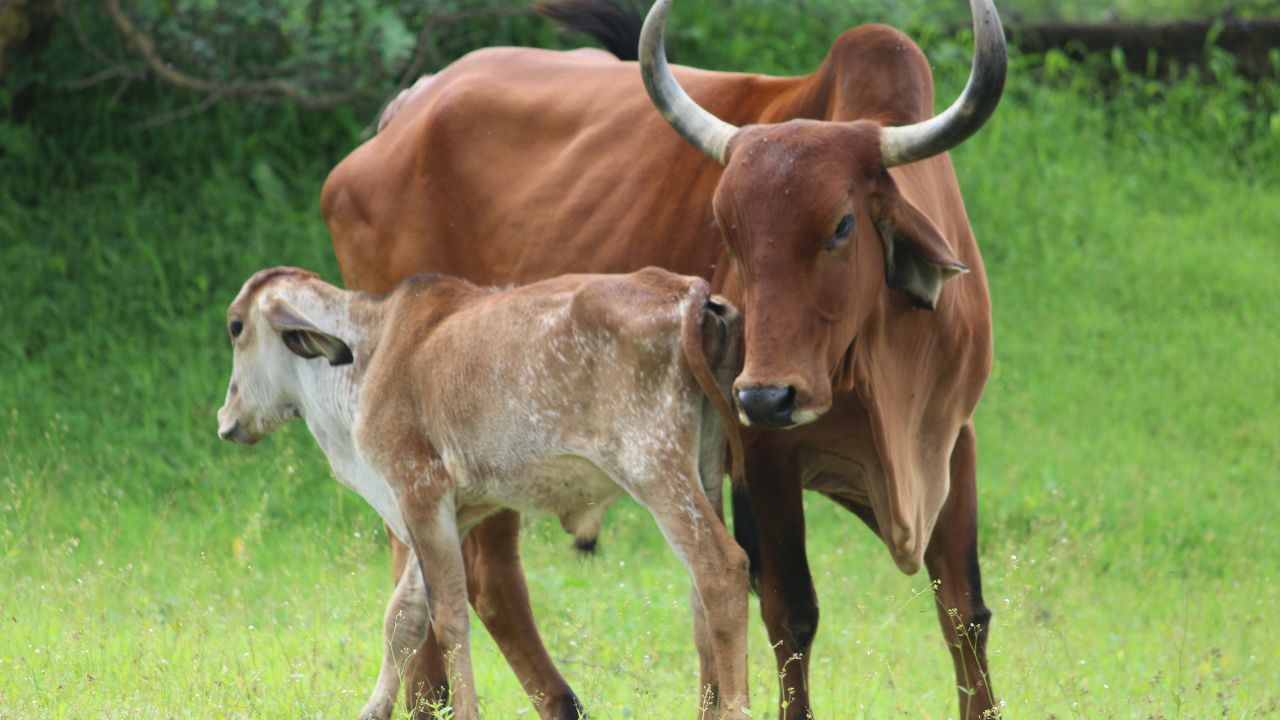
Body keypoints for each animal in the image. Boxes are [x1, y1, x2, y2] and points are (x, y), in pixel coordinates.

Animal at [215, 266, 750, 720]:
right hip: (703, 470)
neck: (370, 353)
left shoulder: (417, 490)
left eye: (236, 327)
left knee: (722, 571)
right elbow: (403, 620)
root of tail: (686, 290)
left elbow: (448, 619)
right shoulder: (449, 511)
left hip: (654, 469)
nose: (226, 420)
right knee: (700, 600)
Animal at [320, 0, 1007, 717]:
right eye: (726, 230)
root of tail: (407, 110)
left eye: (841, 226)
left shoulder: (953, 438)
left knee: (461, 578)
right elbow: (792, 614)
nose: (766, 396)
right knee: (461, 576)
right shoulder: (764, 456)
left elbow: (965, 614)